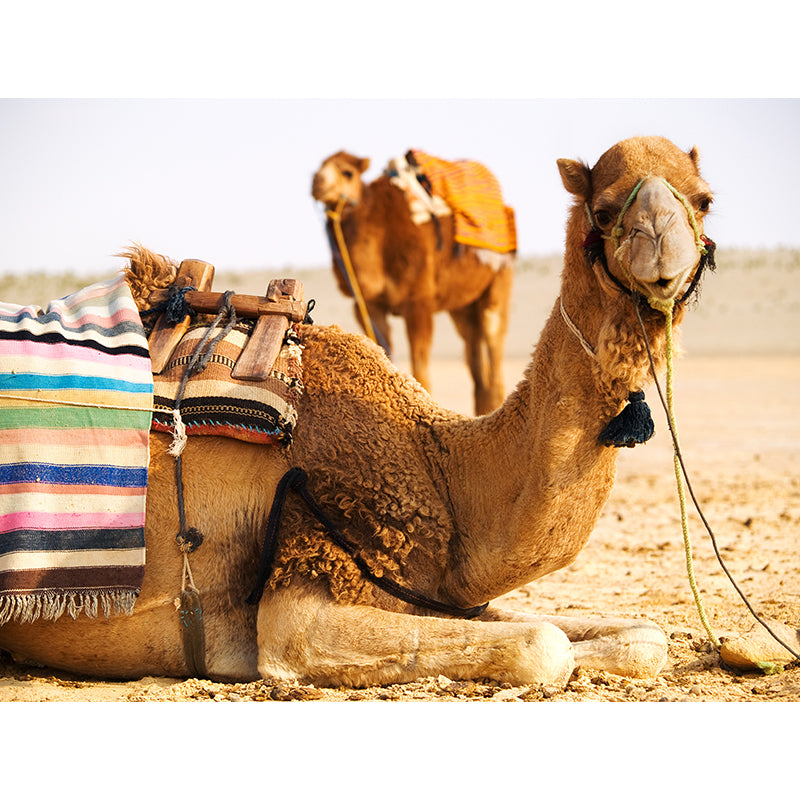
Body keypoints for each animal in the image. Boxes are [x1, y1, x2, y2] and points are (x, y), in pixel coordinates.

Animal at [312, 150, 515, 415]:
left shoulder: (419, 302)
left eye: (348, 172)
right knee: (472, 346)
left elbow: (420, 365)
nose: (317, 182)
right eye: (319, 166)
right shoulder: (368, 304)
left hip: (499, 279)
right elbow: (382, 352)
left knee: (493, 338)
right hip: (461, 305)